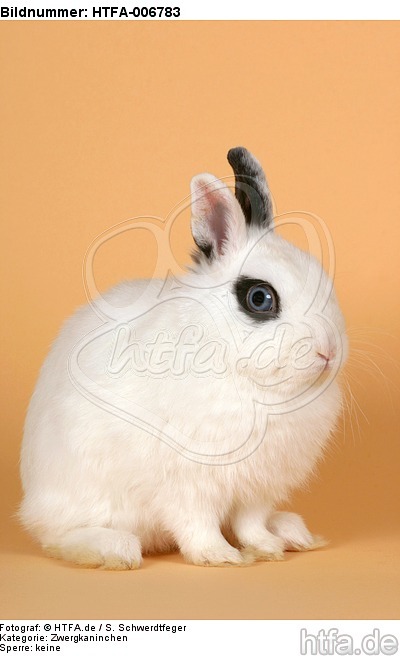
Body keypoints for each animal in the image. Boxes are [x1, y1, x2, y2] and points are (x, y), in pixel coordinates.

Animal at [19, 147, 348, 569]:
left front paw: (265, 549)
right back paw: (115, 550)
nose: (329, 351)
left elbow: (251, 522)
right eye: (259, 298)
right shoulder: (187, 484)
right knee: (58, 537)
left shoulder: (257, 487)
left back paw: (290, 531)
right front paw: (220, 557)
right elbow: (197, 523)